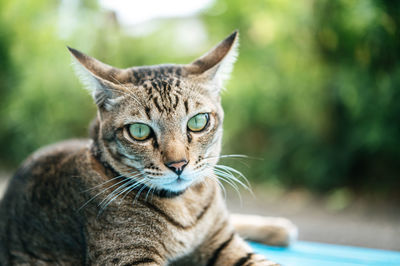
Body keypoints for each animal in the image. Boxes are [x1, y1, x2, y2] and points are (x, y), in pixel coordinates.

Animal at [0, 30, 294, 264]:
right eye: (139, 131)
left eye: (198, 122)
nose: (178, 164)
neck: (184, 206)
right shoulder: (129, 256)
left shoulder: (223, 242)